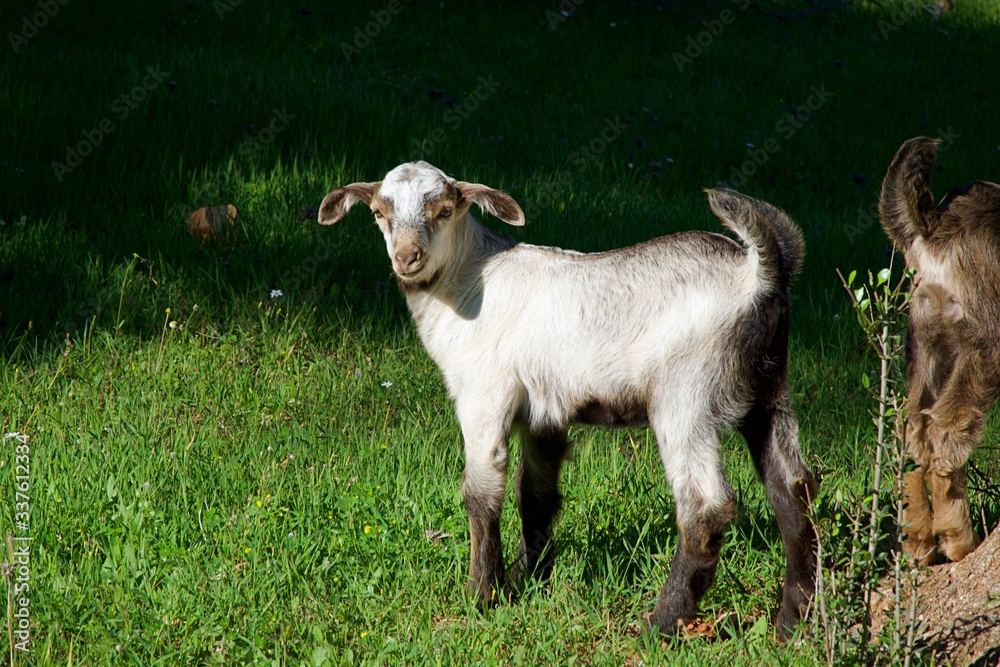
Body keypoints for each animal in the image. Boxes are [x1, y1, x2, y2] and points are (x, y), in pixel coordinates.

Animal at [318, 162, 817, 639]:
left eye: (444, 210)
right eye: (379, 213)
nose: (407, 257)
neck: (470, 281)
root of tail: (757, 274)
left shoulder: (484, 394)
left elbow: (481, 494)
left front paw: (483, 596)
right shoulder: (544, 412)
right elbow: (535, 494)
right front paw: (530, 579)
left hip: (685, 395)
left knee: (706, 509)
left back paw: (659, 625)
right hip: (769, 390)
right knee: (793, 490)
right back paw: (791, 624)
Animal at [879, 137, 1000, 565]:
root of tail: (932, 225)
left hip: (924, 340)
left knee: (911, 427)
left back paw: (918, 542)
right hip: (985, 345)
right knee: (946, 430)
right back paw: (957, 537)